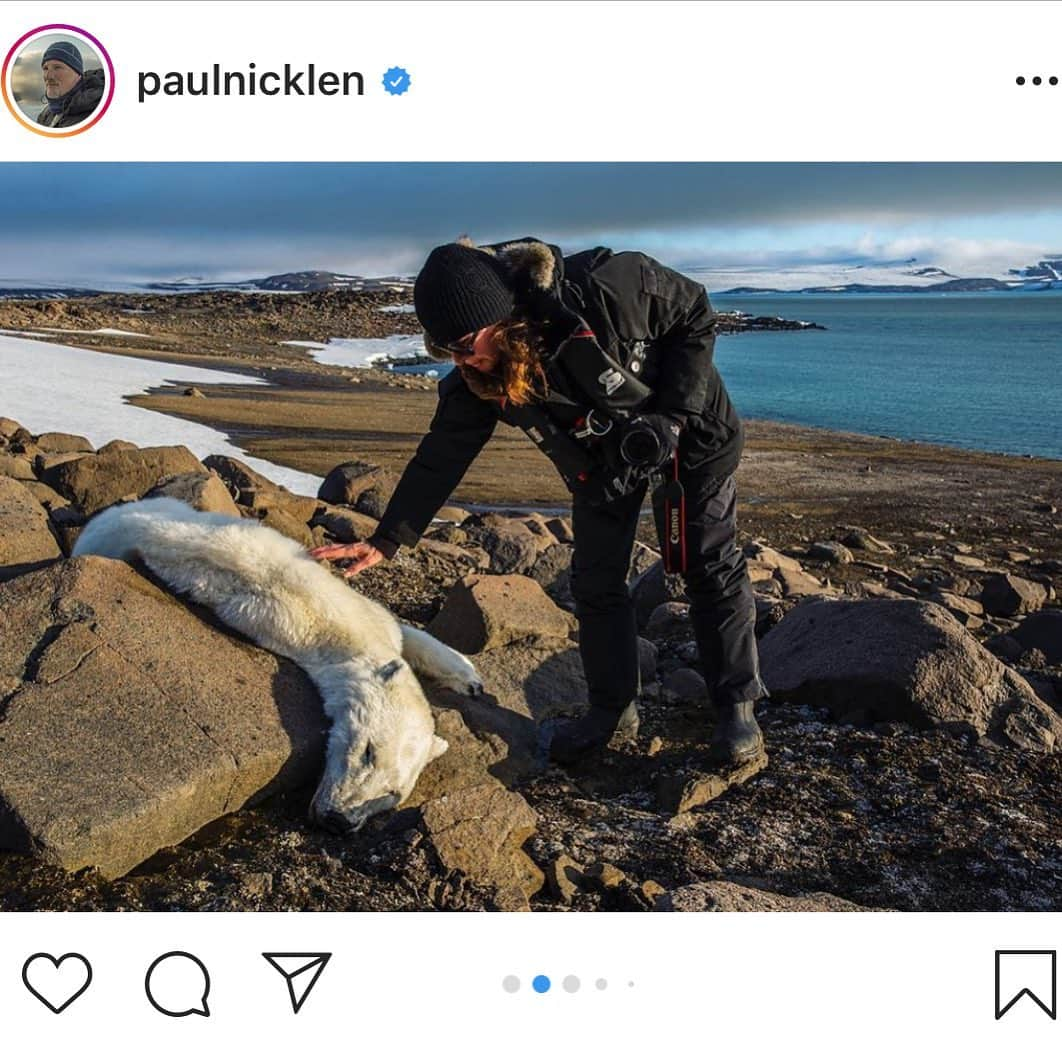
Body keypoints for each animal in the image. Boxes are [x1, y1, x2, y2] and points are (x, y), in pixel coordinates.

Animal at [74, 497, 486, 836]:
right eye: (369, 751)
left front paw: (472, 680)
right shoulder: (295, 609)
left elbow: (408, 634)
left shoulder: (368, 620)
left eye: (392, 793)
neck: (351, 633)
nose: (339, 820)